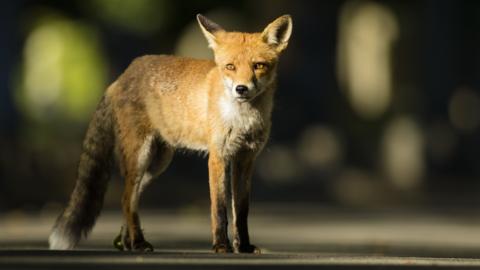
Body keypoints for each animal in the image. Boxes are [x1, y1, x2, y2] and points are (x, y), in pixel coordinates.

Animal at [50, 13, 294, 254]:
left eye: (258, 65)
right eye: (230, 66)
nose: (241, 89)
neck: (243, 119)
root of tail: (122, 76)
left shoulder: (245, 159)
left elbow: (241, 211)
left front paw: (243, 246)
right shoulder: (218, 156)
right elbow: (220, 208)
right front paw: (221, 245)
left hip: (157, 164)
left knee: (130, 200)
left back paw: (127, 242)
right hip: (141, 156)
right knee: (127, 199)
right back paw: (138, 242)